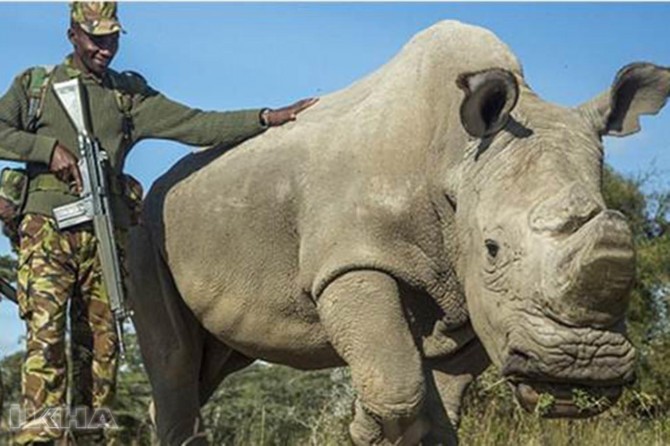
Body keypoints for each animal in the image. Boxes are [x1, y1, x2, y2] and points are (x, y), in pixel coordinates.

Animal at [128, 20, 670, 445]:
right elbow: (398, 382)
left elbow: (445, 398)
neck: (455, 157)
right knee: (175, 358)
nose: (583, 367)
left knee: (215, 360)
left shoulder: (468, 289)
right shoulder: (352, 259)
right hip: (145, 227)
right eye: (493, 249)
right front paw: (366, 426)